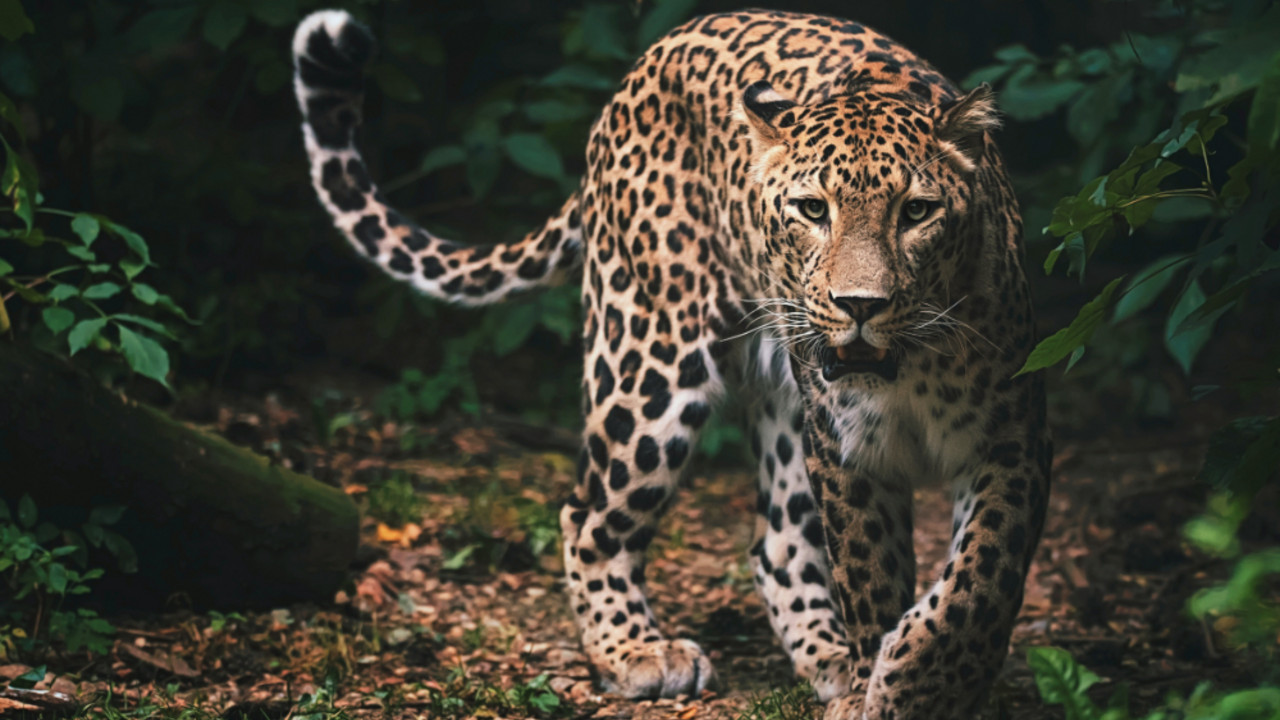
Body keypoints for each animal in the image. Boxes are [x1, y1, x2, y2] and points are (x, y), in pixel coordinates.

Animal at [291, 8, 1051, 719]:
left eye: (917, 212)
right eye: (812, 209)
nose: (859, 304)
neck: (908, 370)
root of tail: (643, 66)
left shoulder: (1013, 438)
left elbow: (981, 579)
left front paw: (921, 681)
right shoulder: (848, 453)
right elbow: (873, 580)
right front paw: (887, 685)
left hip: (779, 400)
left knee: (776, 541)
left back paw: (828, 661)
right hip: (649, 359)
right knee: (588, 514)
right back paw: (637, 653)